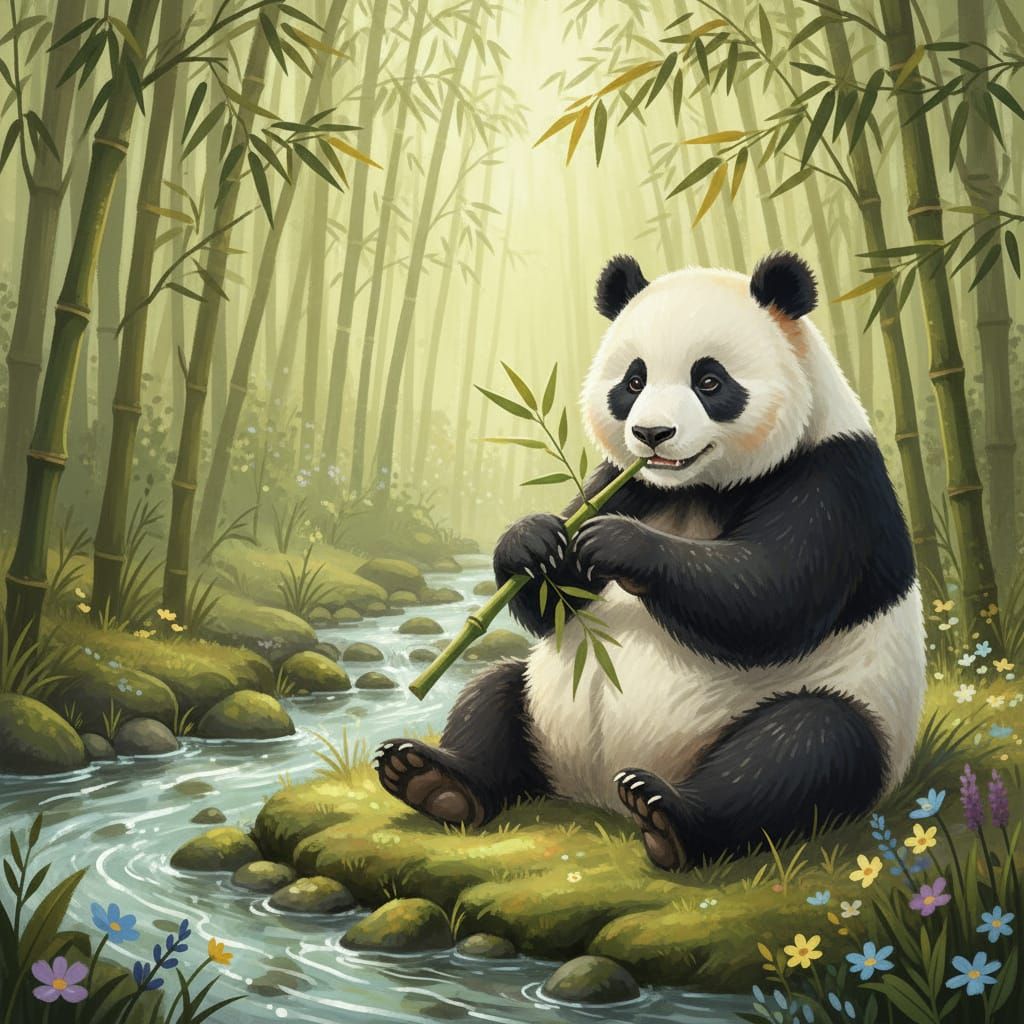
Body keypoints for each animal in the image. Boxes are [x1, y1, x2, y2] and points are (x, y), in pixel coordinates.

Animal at [374, 251, 926, 871]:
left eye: (709, 381)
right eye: (633, 381)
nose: (652, 433)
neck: (692, 488)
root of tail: (589, 789)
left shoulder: (832, 478)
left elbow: (772, 599)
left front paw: (620, 544)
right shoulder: (620, 481)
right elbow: (555, 607)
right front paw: (532, 541)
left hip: (844, 709)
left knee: (802, 748)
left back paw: (667, 815)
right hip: (541, 705)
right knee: (493, 694)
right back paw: (432, 778)